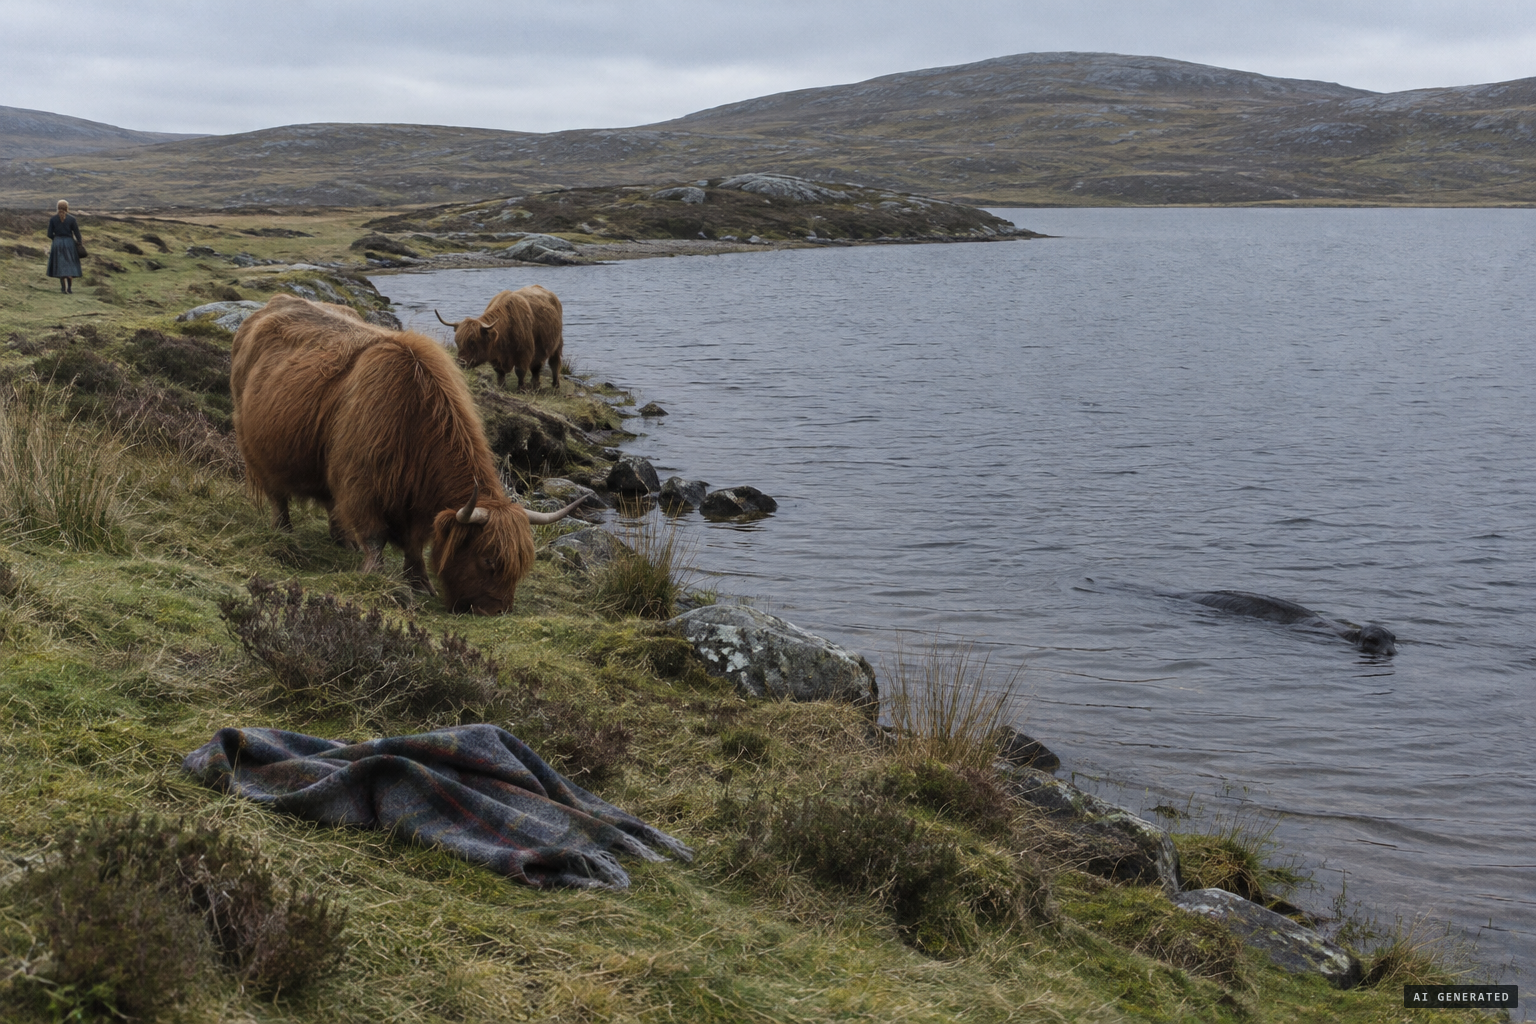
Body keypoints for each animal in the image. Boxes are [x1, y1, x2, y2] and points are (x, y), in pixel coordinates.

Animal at [435, 284, 564, 390]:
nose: (460, 362)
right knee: (536, 368)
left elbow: (520, 371)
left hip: (557, 343)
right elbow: (499, 372)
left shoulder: (524, 353)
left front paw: (521, 388)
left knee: (553, 363)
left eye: (473, 342)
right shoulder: (495, 356)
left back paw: (555, 385)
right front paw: (501, 386)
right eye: (457, 342)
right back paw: (535, 385)